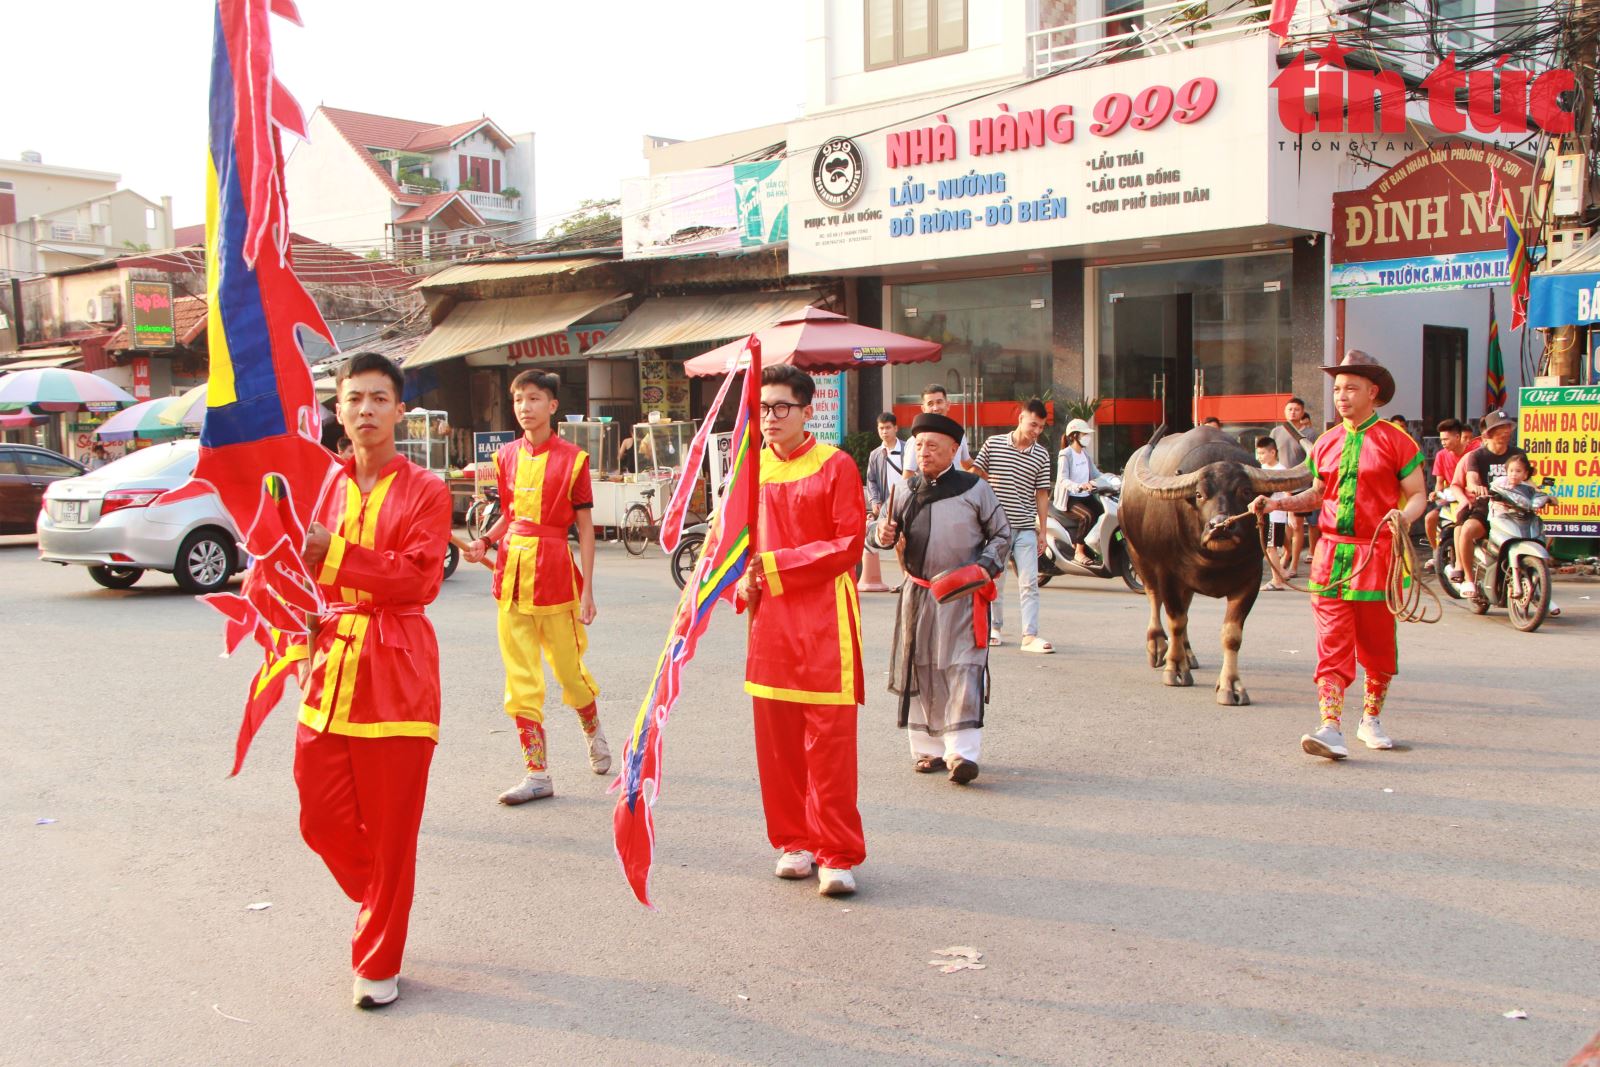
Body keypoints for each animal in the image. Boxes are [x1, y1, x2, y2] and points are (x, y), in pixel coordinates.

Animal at [1113, 428, 1312, 703]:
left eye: (1245, 492)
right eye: (1199, 494)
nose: (1220, 526)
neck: (1214, 559)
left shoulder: (1250, 580)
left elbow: (1231, 635)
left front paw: (1231, 686)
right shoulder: (1168, 574)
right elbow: (1175, 620)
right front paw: (1175, 669)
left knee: (1185, 609)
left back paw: (1188, 654)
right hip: (1138, 555)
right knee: (1155, 599)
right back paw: (1158, 647)